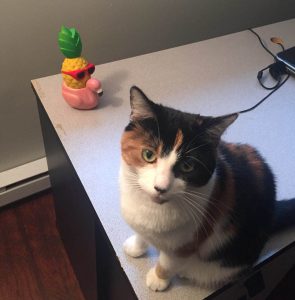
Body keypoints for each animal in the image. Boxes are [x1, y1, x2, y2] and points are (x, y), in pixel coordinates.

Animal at [119, 85, 295, 292]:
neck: (151, 208)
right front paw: (136, 246)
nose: (160, 187)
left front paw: (159, 278)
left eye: (188, 166)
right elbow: (141, 233)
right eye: (148, 154)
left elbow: (168, 263)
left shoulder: (187, 243)